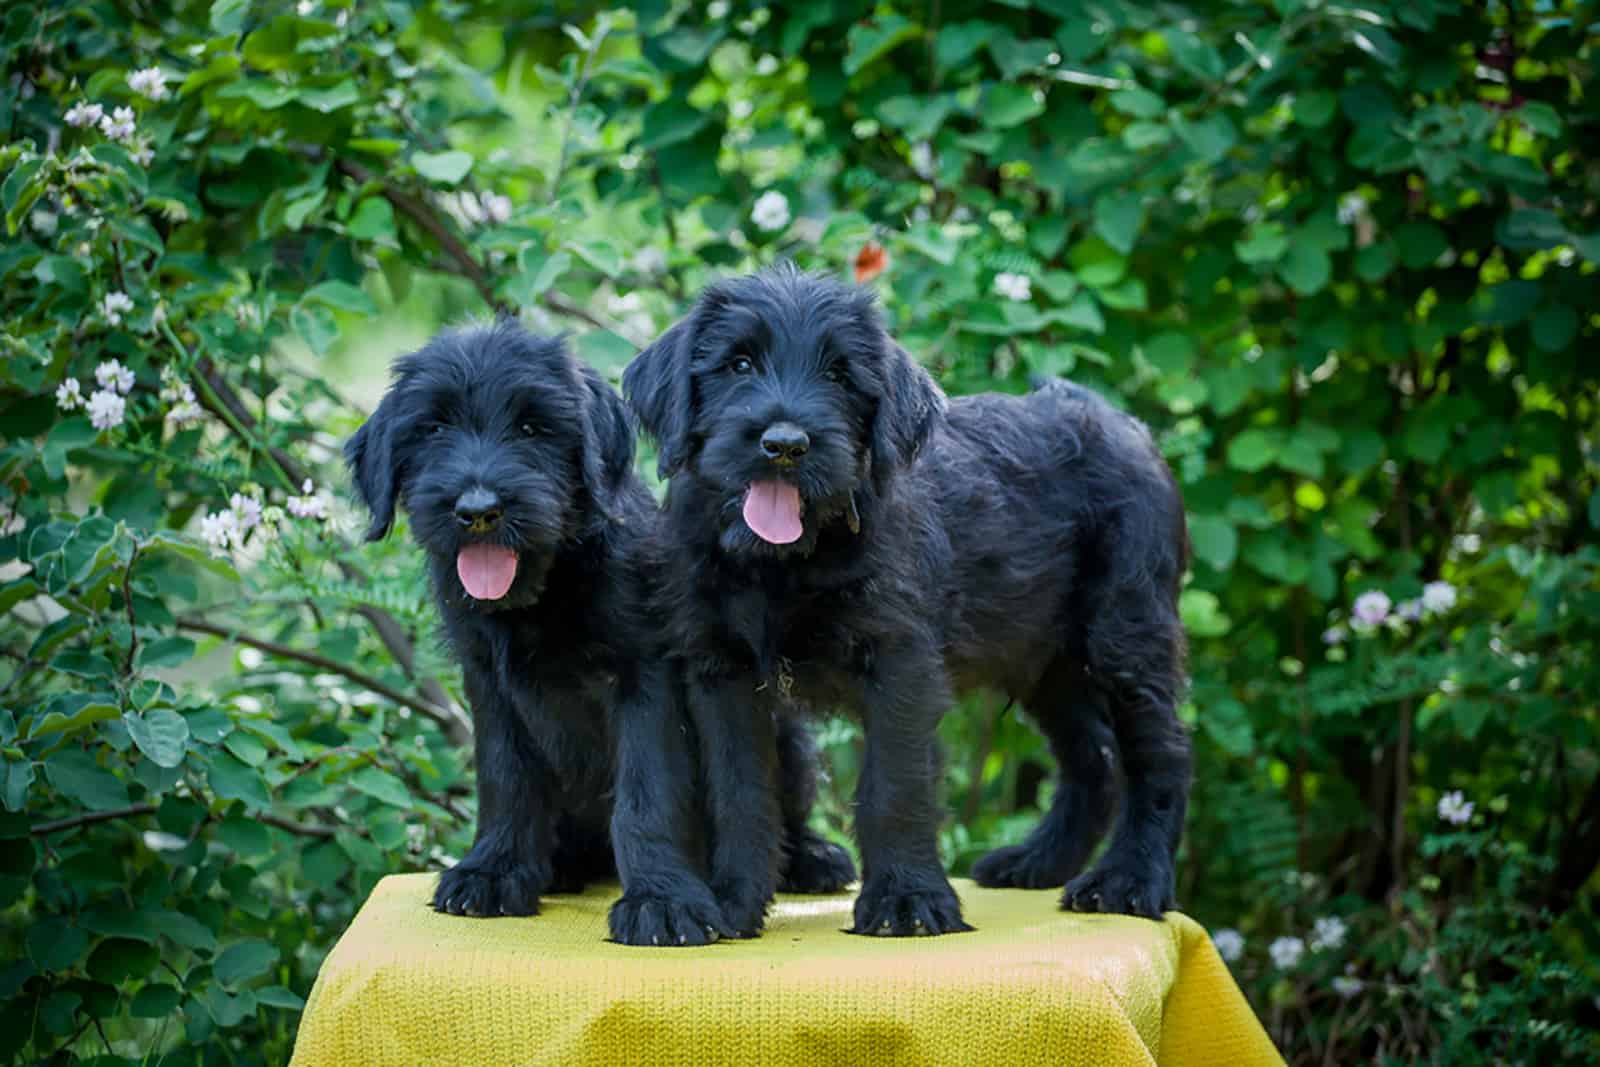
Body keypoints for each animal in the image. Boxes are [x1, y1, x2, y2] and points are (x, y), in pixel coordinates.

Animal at [345, 321, 857, 947]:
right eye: (433, 428)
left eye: (533, 428)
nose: (478, 511)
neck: (549, 586)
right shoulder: (488, 680)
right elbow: (505, 775)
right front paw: (492, 870)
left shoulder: (645, 675)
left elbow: (647, 790)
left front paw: (661, 899)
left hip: (787, 735)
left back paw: (812, 857)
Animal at [620, 271, 1190, 940]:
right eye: (738, 363)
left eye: (840, 375)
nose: (784, 445)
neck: (785, 563)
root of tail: (1116, 417)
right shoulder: (721, 673)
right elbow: (739, 791)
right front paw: (732, 901)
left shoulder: (900, 663)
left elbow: (895, 785)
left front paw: (907, 899)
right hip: (1049, 660)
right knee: (1091, 757)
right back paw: (1037, 861)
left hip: (1126, 632)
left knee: (1160, 753)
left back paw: (1130, 879)